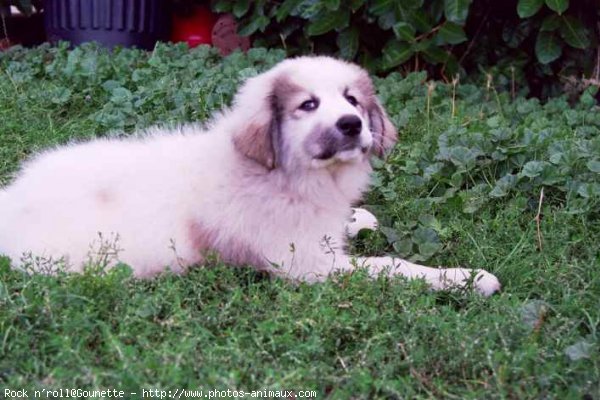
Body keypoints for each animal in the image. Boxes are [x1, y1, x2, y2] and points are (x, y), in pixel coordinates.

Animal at [0, 55, 500, 294]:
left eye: (352, 99)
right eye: (308, 105)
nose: (351, 124)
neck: (285, 175)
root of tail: (12, 201)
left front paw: (357, 218)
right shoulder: (307, 264)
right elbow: (392, 266)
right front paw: (467, 279)